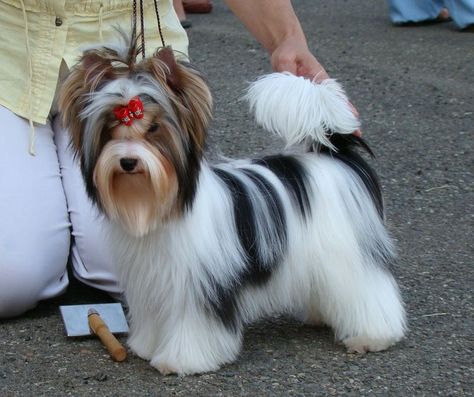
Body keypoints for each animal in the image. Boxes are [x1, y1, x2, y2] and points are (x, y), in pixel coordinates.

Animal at [58, 34, 408, 374]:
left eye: (155, 129)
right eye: (109, 129)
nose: (128, 161)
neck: (161, 205)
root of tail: (335, 154)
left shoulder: (199, 286)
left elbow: (193, 327)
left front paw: (181, 360)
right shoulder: (153, 282)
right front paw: (146, 346)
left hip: (346, 252)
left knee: (367, 287)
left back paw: (372, 335)